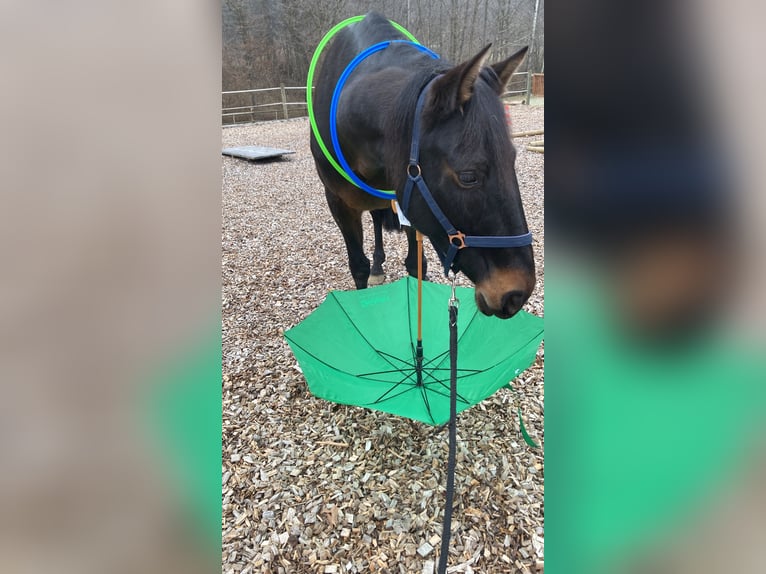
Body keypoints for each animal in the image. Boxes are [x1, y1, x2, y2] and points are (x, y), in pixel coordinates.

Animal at [308, 12, 536, 320]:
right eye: (468, 176)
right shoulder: (339, 204)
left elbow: (416, 266)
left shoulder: (410, 203)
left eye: (512, 161)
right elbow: (358, 266)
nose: (516, 294)